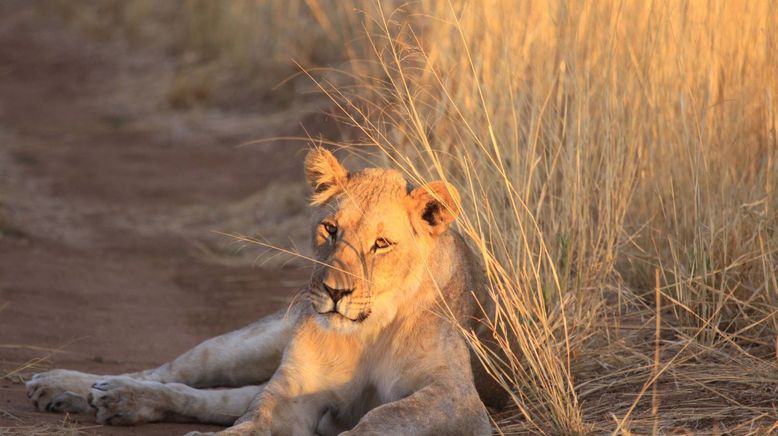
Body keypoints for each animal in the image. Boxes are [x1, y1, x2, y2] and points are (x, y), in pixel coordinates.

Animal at [25, 148, 504, 434]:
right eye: (331, 229)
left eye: (381, 244)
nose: (334, 292)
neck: (367, 332)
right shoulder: (294, 389)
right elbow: (254, 419)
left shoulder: (459, 399)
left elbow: (385, 416)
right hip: (249, 344)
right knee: (173, 373)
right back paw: (76, 387)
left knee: (220, 398)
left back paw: (109, 399)